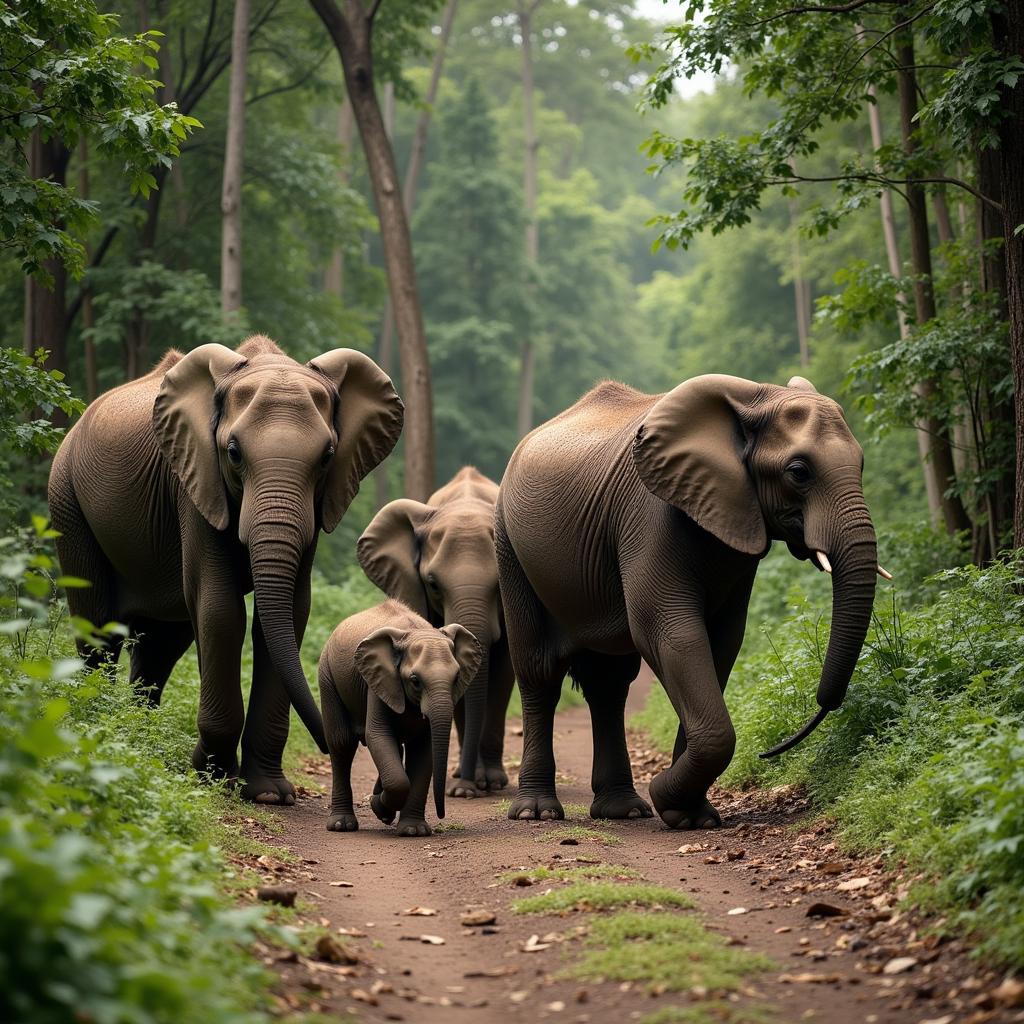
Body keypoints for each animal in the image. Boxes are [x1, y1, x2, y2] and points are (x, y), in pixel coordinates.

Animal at [49, 335, 403, 806]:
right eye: (233, 454)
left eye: (328, 457)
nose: (338, 741)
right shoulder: (193, 483)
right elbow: (220, 611)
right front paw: (212, 775)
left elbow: (288, 614)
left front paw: (267, 794)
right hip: (67, 501)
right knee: (99, 628)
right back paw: (103, 721)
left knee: (161, 643)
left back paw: (143, 731)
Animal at [317, 598, 481, 831]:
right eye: (415, 681)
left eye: (457, 678)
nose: (441, 815)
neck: (415, 631)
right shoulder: (379, 680)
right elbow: (378, 734)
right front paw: (378, 805)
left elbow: (423, 748)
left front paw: (412, 830)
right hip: (327, 676)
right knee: (342, 743)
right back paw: (342, 825)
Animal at [360, 468, 516, 794]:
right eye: (433, 584)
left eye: (499, 585)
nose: (465, 787)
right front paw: (469, 785)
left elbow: (502, 674)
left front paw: (492, 782)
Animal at [495, 372, 880, 827]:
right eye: (798, 472)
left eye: (861, 464)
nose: (769, 752)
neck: (754, 399)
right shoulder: (650, 515)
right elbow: (669, 632)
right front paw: (671, 800)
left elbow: (721, 642)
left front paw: (689, 815)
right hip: (509, 545)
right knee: (540, 672)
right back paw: (536, 813)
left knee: (609, 683)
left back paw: (624, 811)